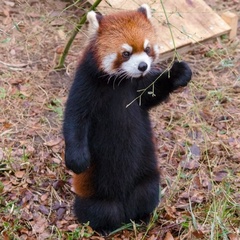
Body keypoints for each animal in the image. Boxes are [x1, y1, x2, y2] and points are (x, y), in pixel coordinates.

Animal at [62, 3, 192, 234]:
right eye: (125, 53)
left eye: (147, 49)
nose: (142, 66)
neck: (120, 82)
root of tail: (124, 205)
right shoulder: (85, 85)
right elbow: (74, 119)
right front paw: (77, 160)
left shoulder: (139, 89)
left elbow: (154, 92)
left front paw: (177, 73)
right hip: (96, 196)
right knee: (99, 211)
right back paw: (105, 228)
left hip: (147, 179)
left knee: (146, 193)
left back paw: (143, 217)